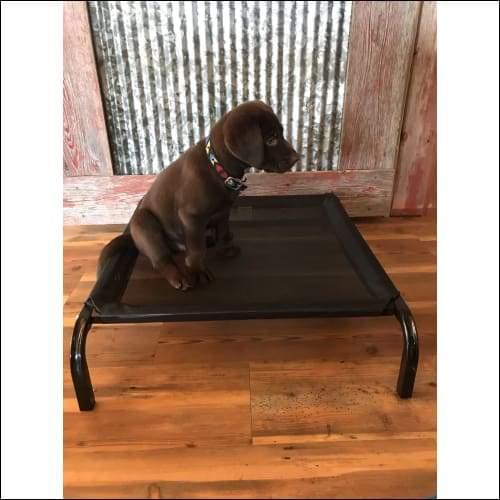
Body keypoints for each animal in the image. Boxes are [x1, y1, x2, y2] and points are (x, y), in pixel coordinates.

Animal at [99, 100, 298, 292]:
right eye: (271, 140)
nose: (297, 158)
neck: (216, 166)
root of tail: (132, 238)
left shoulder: (224, 211)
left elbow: (223, 231)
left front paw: (225, 248)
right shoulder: (191, 217)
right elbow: (196, 249)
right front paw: (198, 270)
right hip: (144, 223)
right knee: (161, 259)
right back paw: (178, 276)